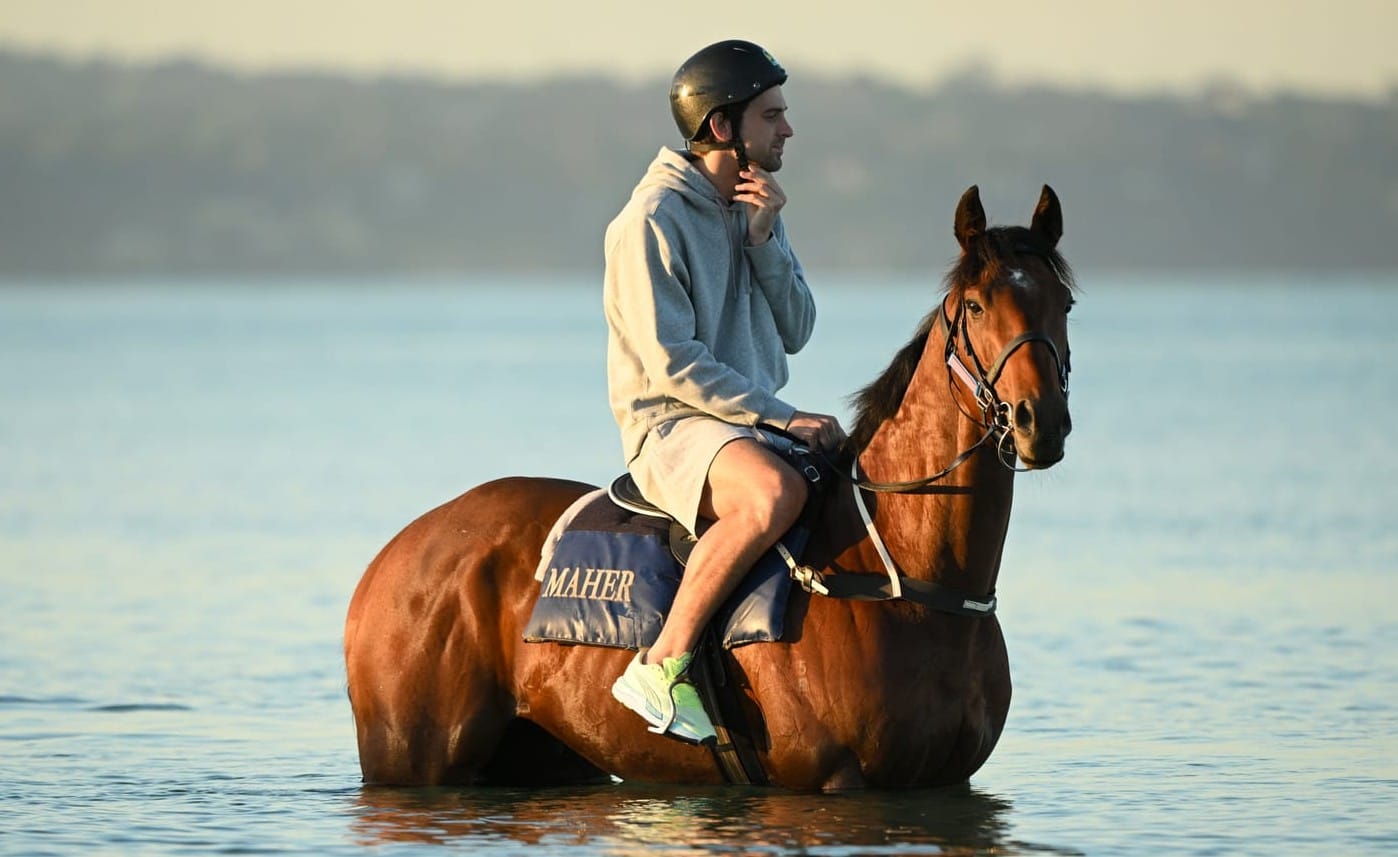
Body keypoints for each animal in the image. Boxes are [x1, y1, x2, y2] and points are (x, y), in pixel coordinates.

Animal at [343, 185, 1073, 788]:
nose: (1040, 421)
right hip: (410, 758)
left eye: (1062, 303)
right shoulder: (836, 781)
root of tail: (396, 554)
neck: (908, 581)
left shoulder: (948, 783)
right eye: (976, 305)